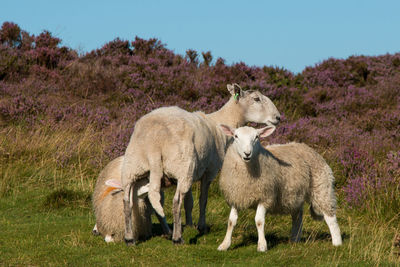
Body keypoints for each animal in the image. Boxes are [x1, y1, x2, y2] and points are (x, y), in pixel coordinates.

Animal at [122, 84, 282, 245]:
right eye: (256, 99)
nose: (278, 117)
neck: (220, 123)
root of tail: (154, 142)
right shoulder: (209, 171)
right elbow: (202, 200)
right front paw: (201, 226)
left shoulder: (192, 172)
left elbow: (189, 202)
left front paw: (189, 224)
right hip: (182, 164)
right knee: (176, 202)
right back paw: (177, 237)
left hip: (135, 166)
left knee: (127, 200)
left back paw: (132, 237)